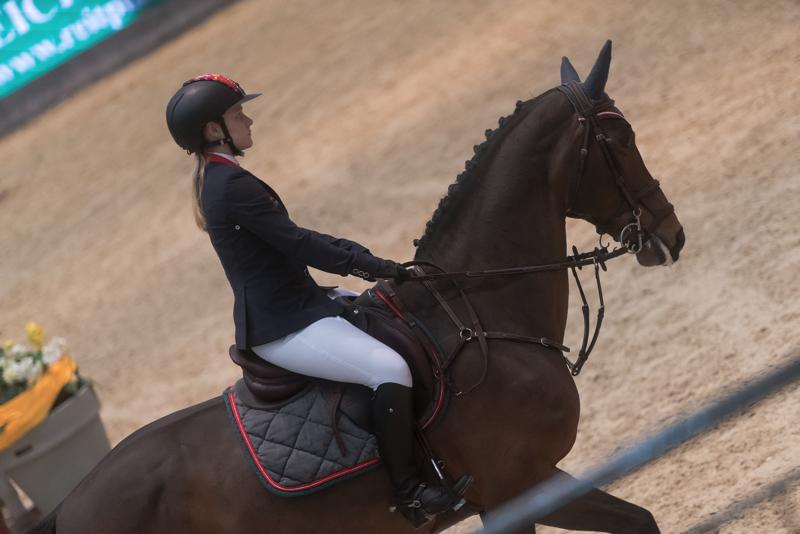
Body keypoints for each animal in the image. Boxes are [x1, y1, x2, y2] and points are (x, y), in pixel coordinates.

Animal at [34, 43, 684, 534]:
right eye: (621, 138)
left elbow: (642, 521)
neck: (479, 312)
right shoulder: (518, 485)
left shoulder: (520, 489)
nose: (670, 235)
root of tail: (69, 507)